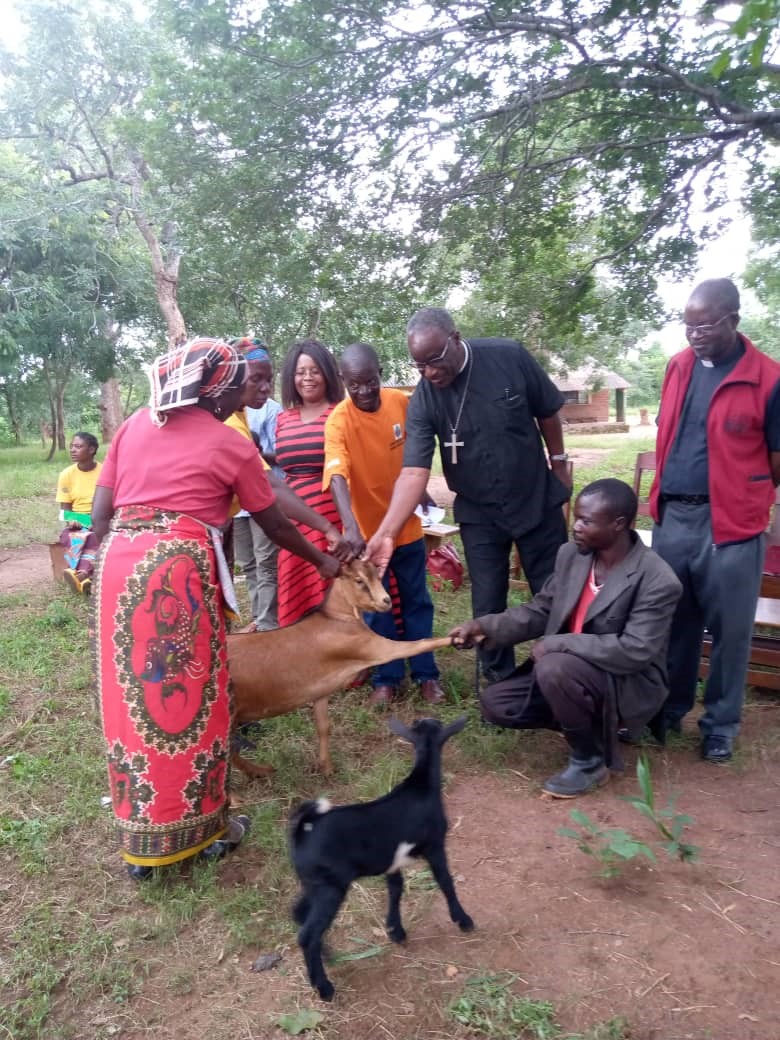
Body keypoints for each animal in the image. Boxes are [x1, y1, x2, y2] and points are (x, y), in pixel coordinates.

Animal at [227, 561, 451, 773]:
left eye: (378, 575)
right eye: (359, 580)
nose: (386, 600)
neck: (335, 616)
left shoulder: (320, 692)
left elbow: (323, 726)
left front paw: (326, 767)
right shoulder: (372, 647)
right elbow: (418, 644)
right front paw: (455, 637)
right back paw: (256, 775)